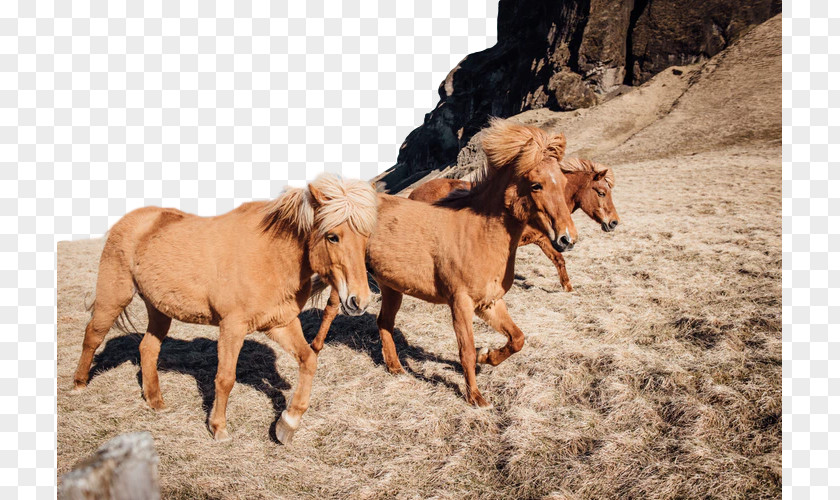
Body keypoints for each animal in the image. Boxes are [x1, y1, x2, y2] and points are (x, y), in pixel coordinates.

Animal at [72, 174, 378, 444]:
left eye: (366, 238)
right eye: (333, 236)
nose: (359, 301)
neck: (270, 255)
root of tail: (127, 221)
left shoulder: (280, 323)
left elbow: (309, 360)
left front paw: (287, 423)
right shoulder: (232, 326)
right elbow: (225, 378)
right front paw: (218, 428)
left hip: (159, 308)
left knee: (148, 348)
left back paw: (156, 401)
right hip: (115, 295)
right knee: (93, 335)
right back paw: (79, 384)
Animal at [312, 119, 576, 408]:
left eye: (564, 181)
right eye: (537, 185)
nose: (567, 238)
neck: (479, 234)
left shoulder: (490, 302)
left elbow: (517, 339)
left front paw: (487, 356)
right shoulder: (460, 303)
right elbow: (466, 351)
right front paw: (475, 397)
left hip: (391, 287)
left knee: (384, 322)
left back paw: (395, 368)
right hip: (349, 282)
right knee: (331, 309)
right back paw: (315, 349)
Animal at [410, 158, 620, 292]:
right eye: (601, 192)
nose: (614, 222)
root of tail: (413, 194)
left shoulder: (541, 240)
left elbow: (558, 259)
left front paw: (568, 287)